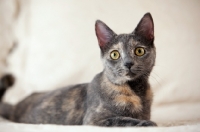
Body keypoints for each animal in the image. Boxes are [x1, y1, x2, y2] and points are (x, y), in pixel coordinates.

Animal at [0, 12, 156, 127]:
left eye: (139, 51)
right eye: (115, 54)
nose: (128, 63)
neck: (136, 91)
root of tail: (15, 106)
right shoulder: (93, 120)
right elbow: (122, 119)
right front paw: (147, 123)